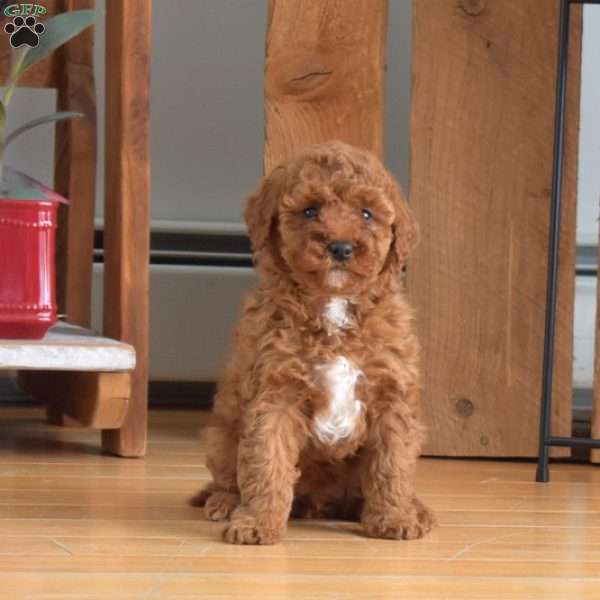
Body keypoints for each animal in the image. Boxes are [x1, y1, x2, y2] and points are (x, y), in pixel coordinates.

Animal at [193, 139, 436, 544]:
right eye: (310, 210)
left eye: (366, 213)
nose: (340, 247)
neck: (333, 306)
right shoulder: (275, 393)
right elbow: (266, 461)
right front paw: (257, 524)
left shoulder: (392, 396)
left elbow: (393, 464)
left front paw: (396, 517)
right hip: (220, 435)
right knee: (227, 477)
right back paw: (225, 503)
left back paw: (416, 508)